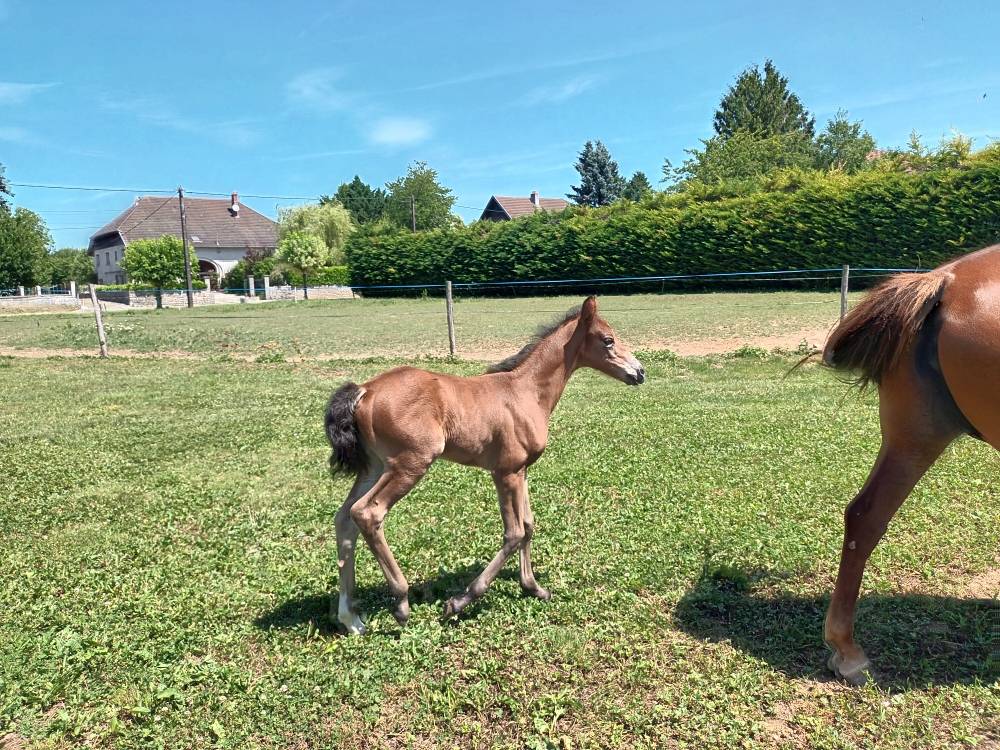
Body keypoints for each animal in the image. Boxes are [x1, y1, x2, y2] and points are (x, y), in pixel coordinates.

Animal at [324, 296, 645, 634]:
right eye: (608, 340)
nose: (640, 372)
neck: (526, 392)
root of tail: (365, 391)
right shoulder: (505, 472)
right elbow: (514, 533)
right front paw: (459, 601)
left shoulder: (522, 471)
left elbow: (528, 526)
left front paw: (533, 587)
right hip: (410, 464)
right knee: (367, 512)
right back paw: (400, 601)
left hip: (374, 468)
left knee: (345, 518)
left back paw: (351, 619)